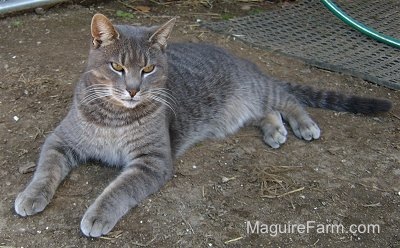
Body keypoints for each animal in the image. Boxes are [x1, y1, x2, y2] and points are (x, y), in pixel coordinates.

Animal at [14, 13, 392, 236]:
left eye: (148, 69)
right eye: (117, 67)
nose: (133, 89)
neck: (115, 116)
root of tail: (241, 59)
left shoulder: (153, 161)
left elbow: (118, 190)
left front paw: (98, 214)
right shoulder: (60, 140)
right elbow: (45, 171)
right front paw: (30, 195)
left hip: (259, 91)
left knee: (288, 100)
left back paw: (303, 124)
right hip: (240, 111)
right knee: (267, 113)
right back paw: (275, 130)